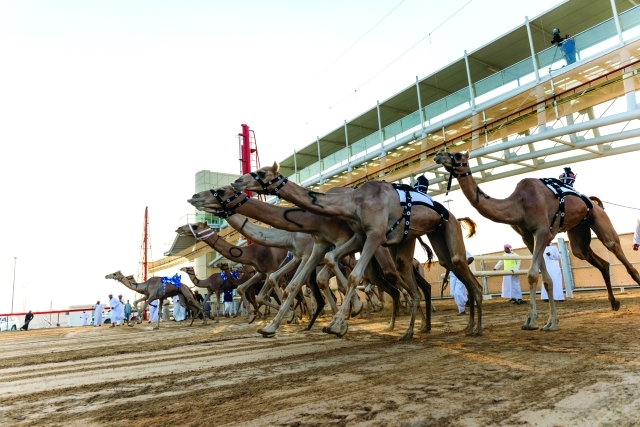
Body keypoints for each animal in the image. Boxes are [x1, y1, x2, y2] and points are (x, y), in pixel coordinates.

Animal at [189, 186, 430, 340]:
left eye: (220, 191)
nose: (194, 197)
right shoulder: (304, 254)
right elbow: (295, 284)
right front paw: (272, 326)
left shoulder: (312, 251)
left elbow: (306, 283)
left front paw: (348, 314)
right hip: (376, 262)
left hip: (382, 252)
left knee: (399, 280)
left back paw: (413, 321)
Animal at [228, 162, 482, 340]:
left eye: (262, 173)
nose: (236, 182)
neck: (354, 202)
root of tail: (452, 215)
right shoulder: (352, 238)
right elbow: (322, 268)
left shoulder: (373, 235)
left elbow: (351, 276)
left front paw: (339, 324)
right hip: (418, 238)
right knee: (430, 274)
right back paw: (434, 327)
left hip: (444, 229)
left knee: (457, 271)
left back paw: (470, 327)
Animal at [432, 150, 640, 332]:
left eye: (458, 154)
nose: (438, 155)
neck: (518, 204)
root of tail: (593, 202)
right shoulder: (527, 237)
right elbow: (546, 279)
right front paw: (550, 322)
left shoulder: (542, 232)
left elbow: (533, 274)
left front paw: (531, 321)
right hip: (579, 231)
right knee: (596, 259)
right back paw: (614, 303)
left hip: (600, 219)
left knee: (616, 250)